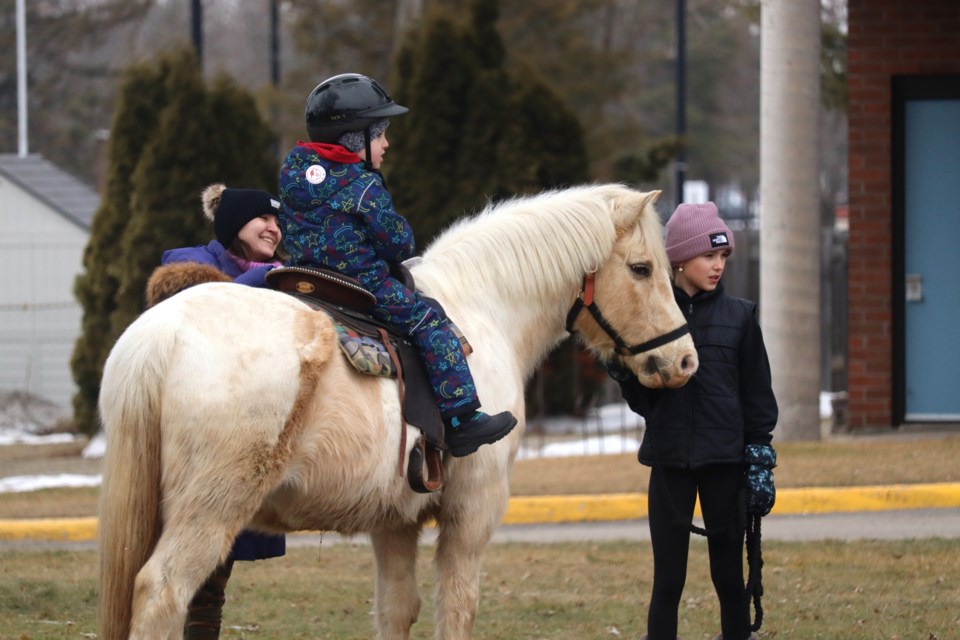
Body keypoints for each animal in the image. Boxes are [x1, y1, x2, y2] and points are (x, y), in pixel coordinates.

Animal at [99, 182, 696, 636]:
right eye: (642, 269)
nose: (684, 360)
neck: (483, 307)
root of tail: (158, 336)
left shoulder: (394, 522)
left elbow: (396, 610)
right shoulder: (471, 512)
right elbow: (456, 606)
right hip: (211, 508)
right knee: (162, 591)